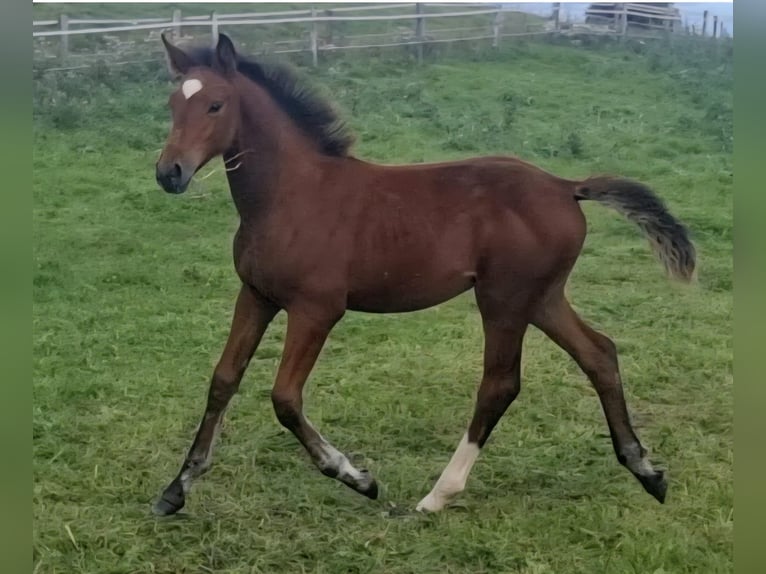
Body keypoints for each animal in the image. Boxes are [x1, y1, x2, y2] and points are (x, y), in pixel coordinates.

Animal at [152, 33, 695, 516]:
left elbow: (284, 398)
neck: (291, 196)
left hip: (504, 299)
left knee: (500, 383)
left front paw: (357, 477)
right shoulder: (256, 295)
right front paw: (176, 490)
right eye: (173, 103)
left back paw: (438, 495)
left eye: (216, 105)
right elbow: (223, 380)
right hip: (542, 297)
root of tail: (566, 186)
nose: (169, 173)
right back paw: (647, 471)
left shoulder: (316, 309)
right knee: (599, 353)